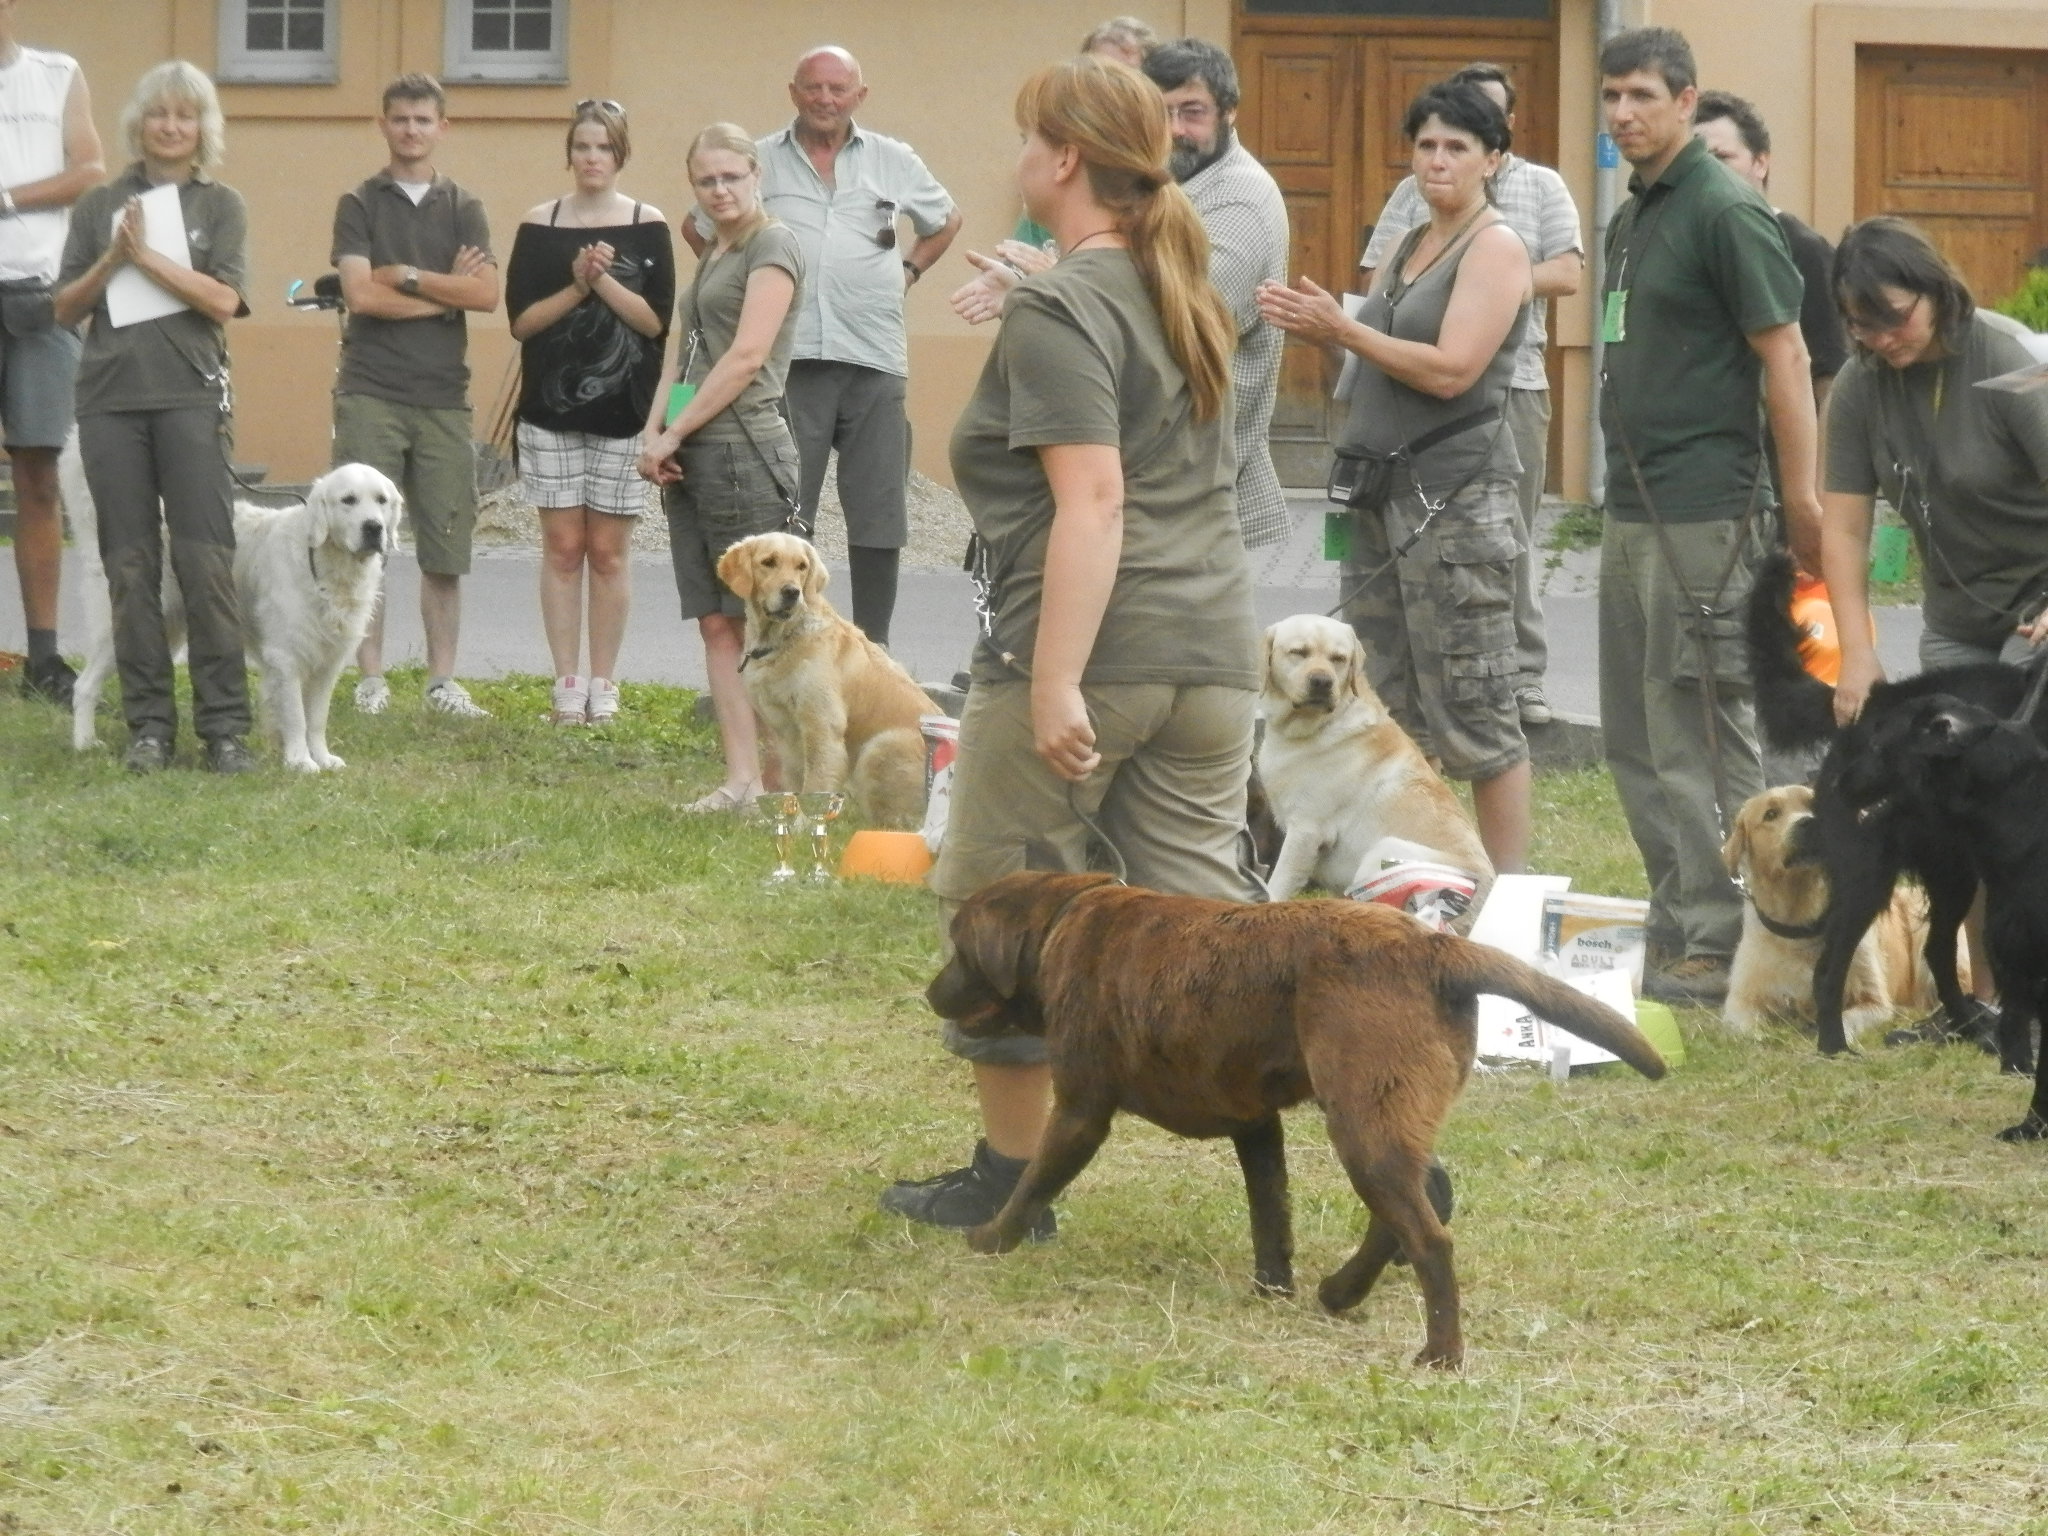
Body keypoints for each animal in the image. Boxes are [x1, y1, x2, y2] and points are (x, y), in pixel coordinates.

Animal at [716, 536, 937, 835]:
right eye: (768, 562)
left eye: (801, 566)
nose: (792, 592)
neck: (783, 638)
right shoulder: (787, 731)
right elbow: (795, 780)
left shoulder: (821, 724)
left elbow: (816, 780)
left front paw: (803, 826)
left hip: (879, 747)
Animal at [1253, 614, 1499, 925]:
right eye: (1298, 652)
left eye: (1338, 658)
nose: (1322, 682)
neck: (1318, 726)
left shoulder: (1306, 832)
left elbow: (1276, 887)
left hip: (1385, 851)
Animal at [1712, 786, 1949, 1040]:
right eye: (1771, 814)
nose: (1809, 823)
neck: (1801, 924)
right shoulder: (1741, 998)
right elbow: (1742, 1025)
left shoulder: (1873, 1000)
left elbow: (1848, 1017)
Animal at [1744, 557, 2031, 1073]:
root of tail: (1866, 707)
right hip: (1868, 875)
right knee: (1829, 968)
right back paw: (1835, 1047)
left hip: (1952, 871)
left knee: (1938, 951)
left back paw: (1971, 1027)